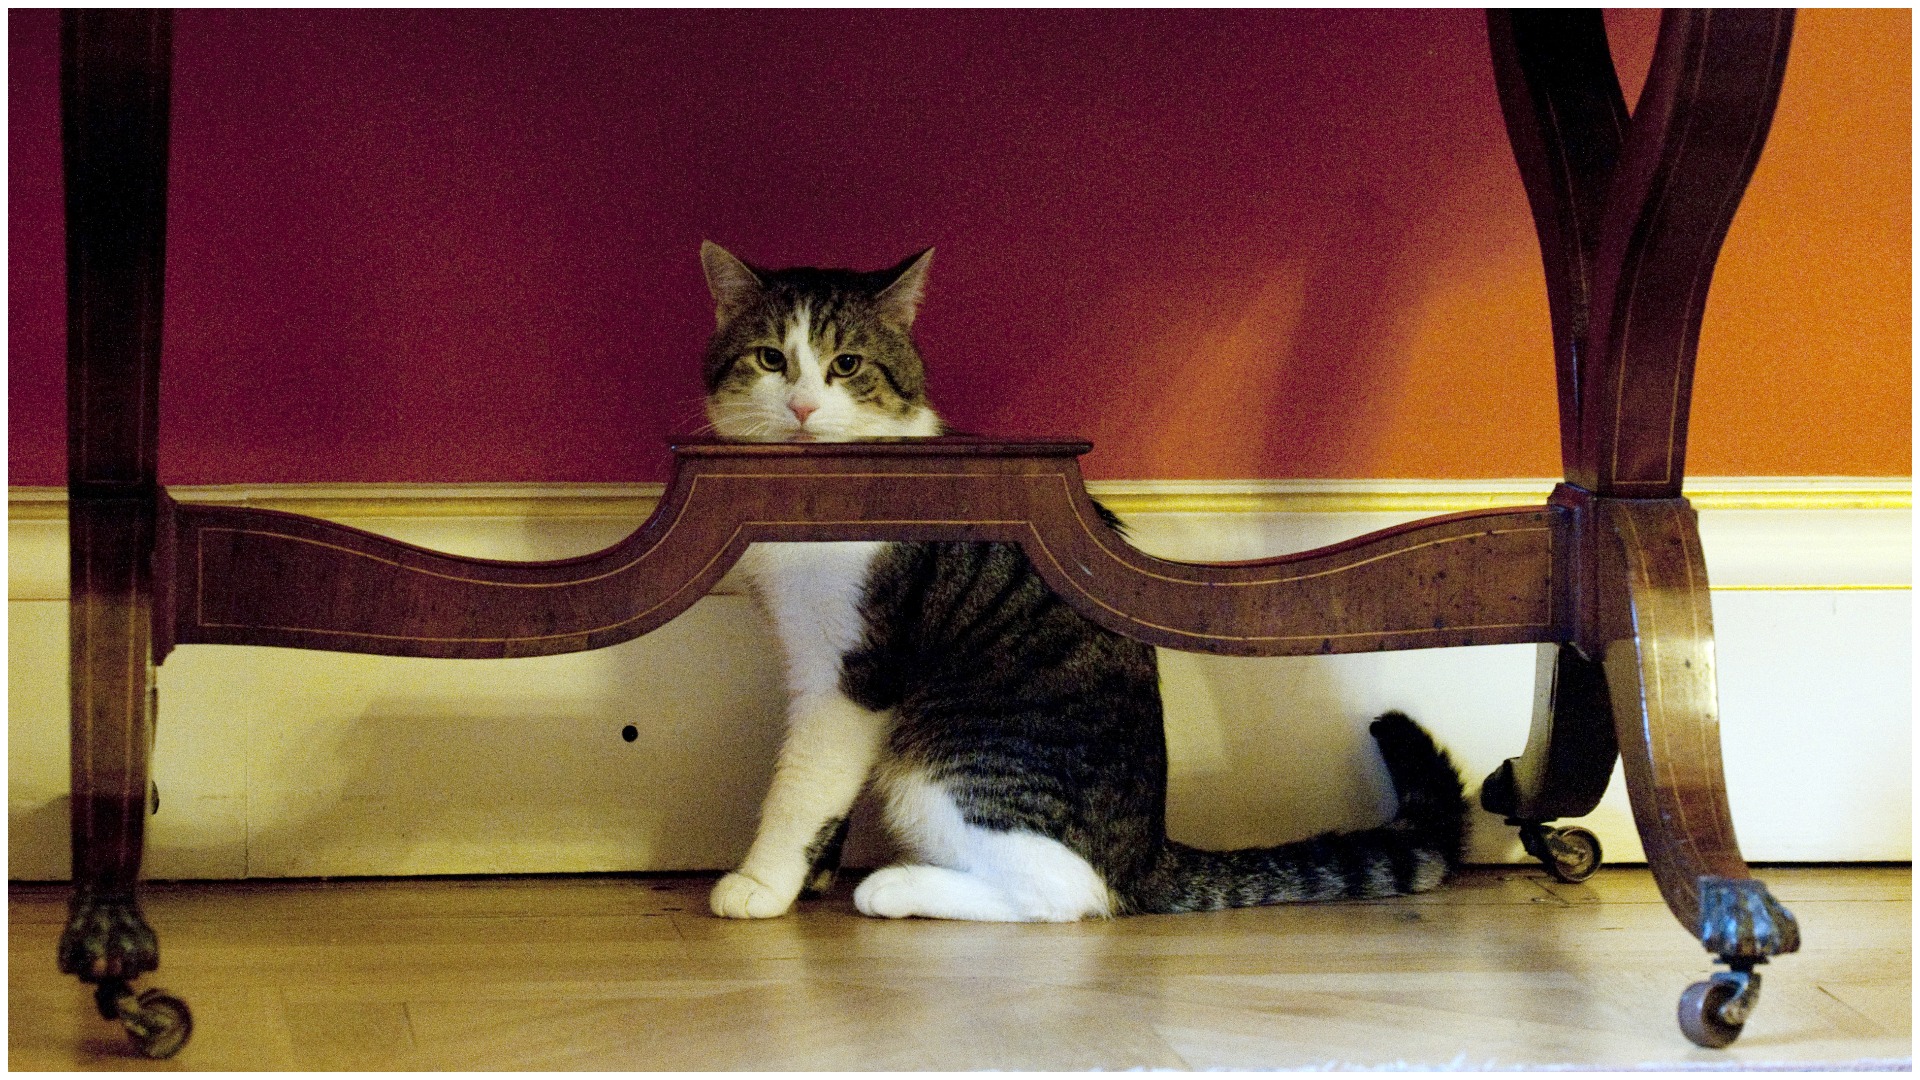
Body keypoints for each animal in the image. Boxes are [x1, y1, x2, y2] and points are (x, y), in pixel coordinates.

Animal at [698, 242, 1459, 914]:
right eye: (771, 359)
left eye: (846, 364)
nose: (801, 407)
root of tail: (1149, 849)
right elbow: (826, 794)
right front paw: (812, 875)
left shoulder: (852, 668)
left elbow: (803, 784)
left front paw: (762, 884)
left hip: (944, 762)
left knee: (1071, 892)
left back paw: (896, 887)